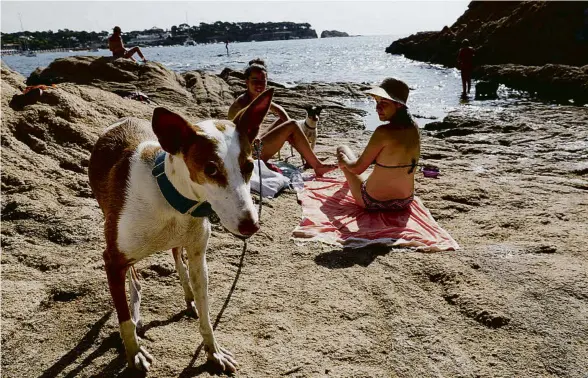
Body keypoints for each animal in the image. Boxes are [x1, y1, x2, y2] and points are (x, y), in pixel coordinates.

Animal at [88, 88, 276, 372]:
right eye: (210, 169)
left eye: (250, 166)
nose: (251, 225)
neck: (173, 201)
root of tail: (124, 119)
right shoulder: (112, 259)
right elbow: (124, 319)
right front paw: (134, 352)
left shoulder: (199, 256)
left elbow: (207, 315)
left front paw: (213, 351)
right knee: (135, 276)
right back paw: (136, 301)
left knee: (178, 258)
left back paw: (187, 295)